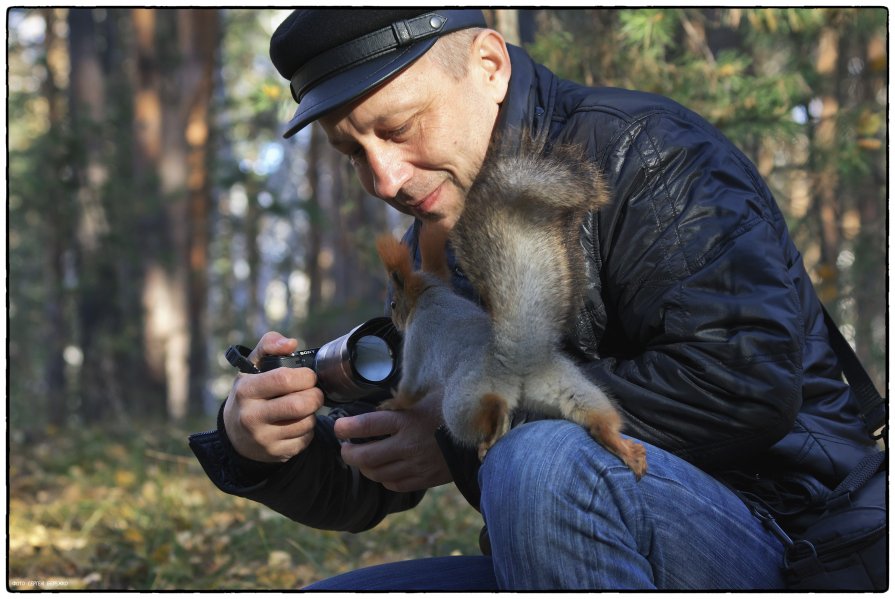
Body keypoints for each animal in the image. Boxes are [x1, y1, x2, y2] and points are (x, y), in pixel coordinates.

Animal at [374, 139, 648, 478]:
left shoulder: (417, 341)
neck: (431, 292)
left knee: (486, 410)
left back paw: (494, 428)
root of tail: (519, 358)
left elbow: (411, 384)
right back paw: (626, 449)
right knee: (598, 417)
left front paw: (393, 403)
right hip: (569, 386)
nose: (395, 322)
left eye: (394, 303)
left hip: (462, 399)